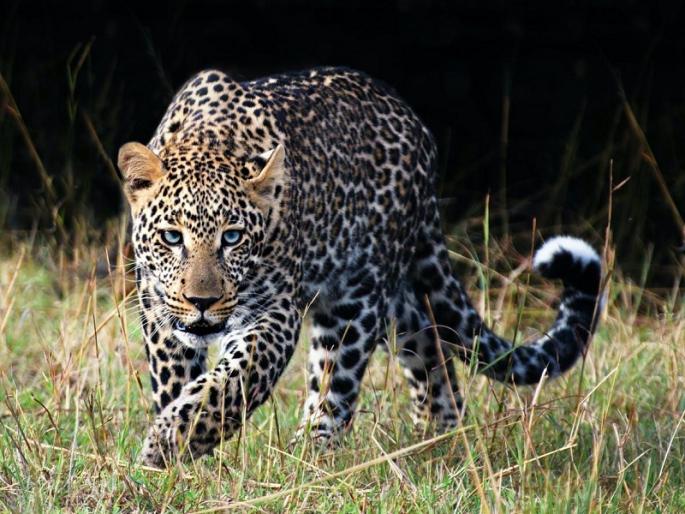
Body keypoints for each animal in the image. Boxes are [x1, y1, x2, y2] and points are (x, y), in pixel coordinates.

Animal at [117, 67, 604, 468]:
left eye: (232, 237)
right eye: (172, 237)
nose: (202, 301)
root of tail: (417, 128)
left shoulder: (274, 312)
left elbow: (234, 382)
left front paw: (166, 444)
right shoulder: (158, 308)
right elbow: (177, 380)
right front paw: (177, 459)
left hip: (357, 300)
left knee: (335, 389)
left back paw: (311, 460)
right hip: (398, 309)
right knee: (431, 352)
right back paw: (435, 443)